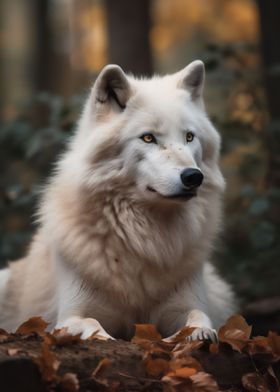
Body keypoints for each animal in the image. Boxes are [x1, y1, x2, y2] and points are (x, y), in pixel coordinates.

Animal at [0, 60, 235, 340]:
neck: (144, 239)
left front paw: (199, 334)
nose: (193, 176)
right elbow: (94, 327)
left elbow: (199, 317)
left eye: (189, 137)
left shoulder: (186, 304)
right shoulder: (71, 315)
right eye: (148, 137)